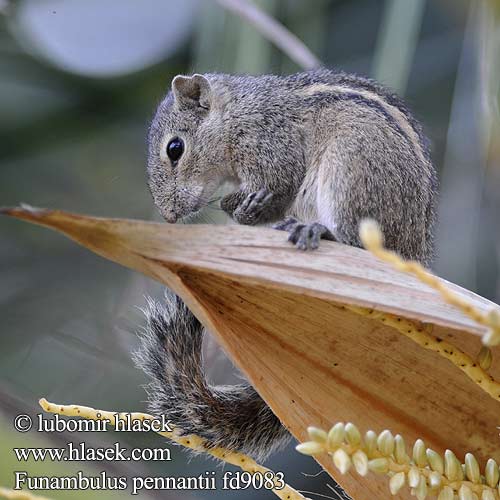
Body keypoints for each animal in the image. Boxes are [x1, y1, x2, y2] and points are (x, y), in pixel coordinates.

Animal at [133, 67, 438, 460]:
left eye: (175, 149)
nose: (168, 216)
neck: (236, 113)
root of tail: (414, 255)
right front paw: (238, 207)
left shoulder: (270, 144)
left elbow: (282, 183)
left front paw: (244, 206)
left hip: (352, 166)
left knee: (357, 242)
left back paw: (319, 231)